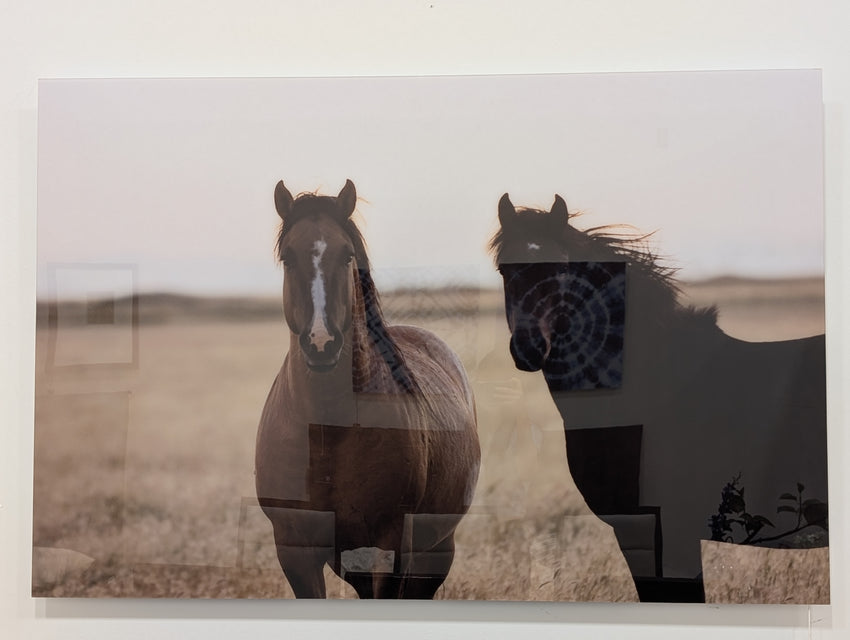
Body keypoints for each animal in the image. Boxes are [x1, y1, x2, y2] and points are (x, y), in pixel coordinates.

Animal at [255, 180, 480, 599]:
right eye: (289, 258)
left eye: (346, 255)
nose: (322, 343)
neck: (327, 432)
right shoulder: (295, 550)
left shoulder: (388, 547)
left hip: (435, 552)